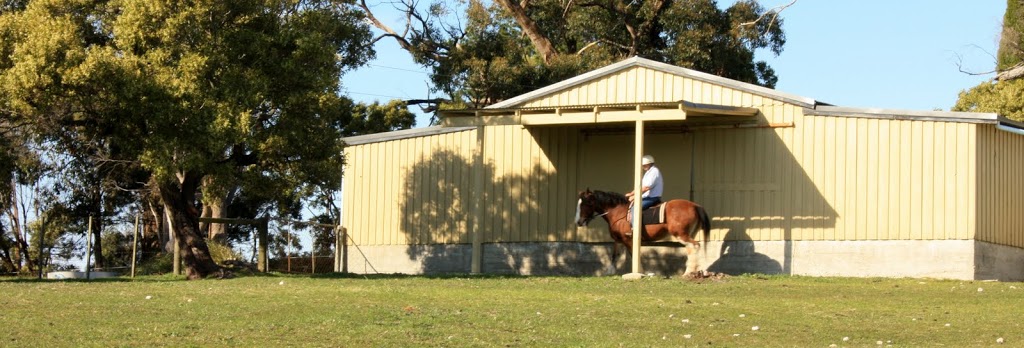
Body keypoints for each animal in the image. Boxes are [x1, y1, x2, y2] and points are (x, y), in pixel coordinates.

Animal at [577, 189, 712, 276]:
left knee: (694, 246)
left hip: (681, 234)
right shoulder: (618, 239)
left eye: (587, 203)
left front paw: (640, 271)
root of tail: (695, 205)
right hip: (689, 233)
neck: (618, 212)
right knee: (693, 247)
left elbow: (633, 255)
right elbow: (614, 255)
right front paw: (610, 271)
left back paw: (689, 272)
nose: (579, 222)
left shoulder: (628, 240)